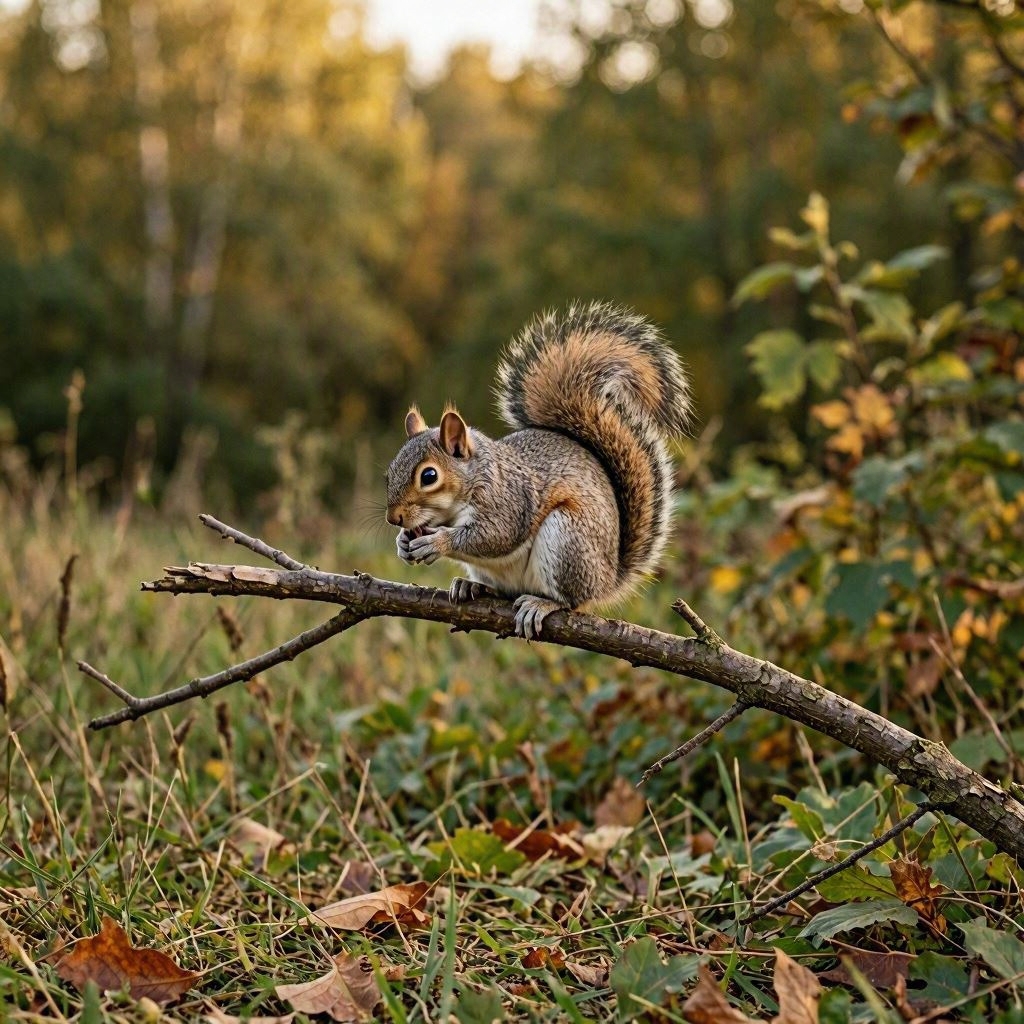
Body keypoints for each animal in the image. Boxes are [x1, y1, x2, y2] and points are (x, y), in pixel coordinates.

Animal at [385, 300, 693, 638]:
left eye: (429, 476)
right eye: (388, 473)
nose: (393, 518)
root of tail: (608, 578)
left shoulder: (508, 501)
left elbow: (495, 536)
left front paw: (438, 541)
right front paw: (402, 543)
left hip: (568, 539)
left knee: (572, 601)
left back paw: (542, 604)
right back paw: (472, 587)